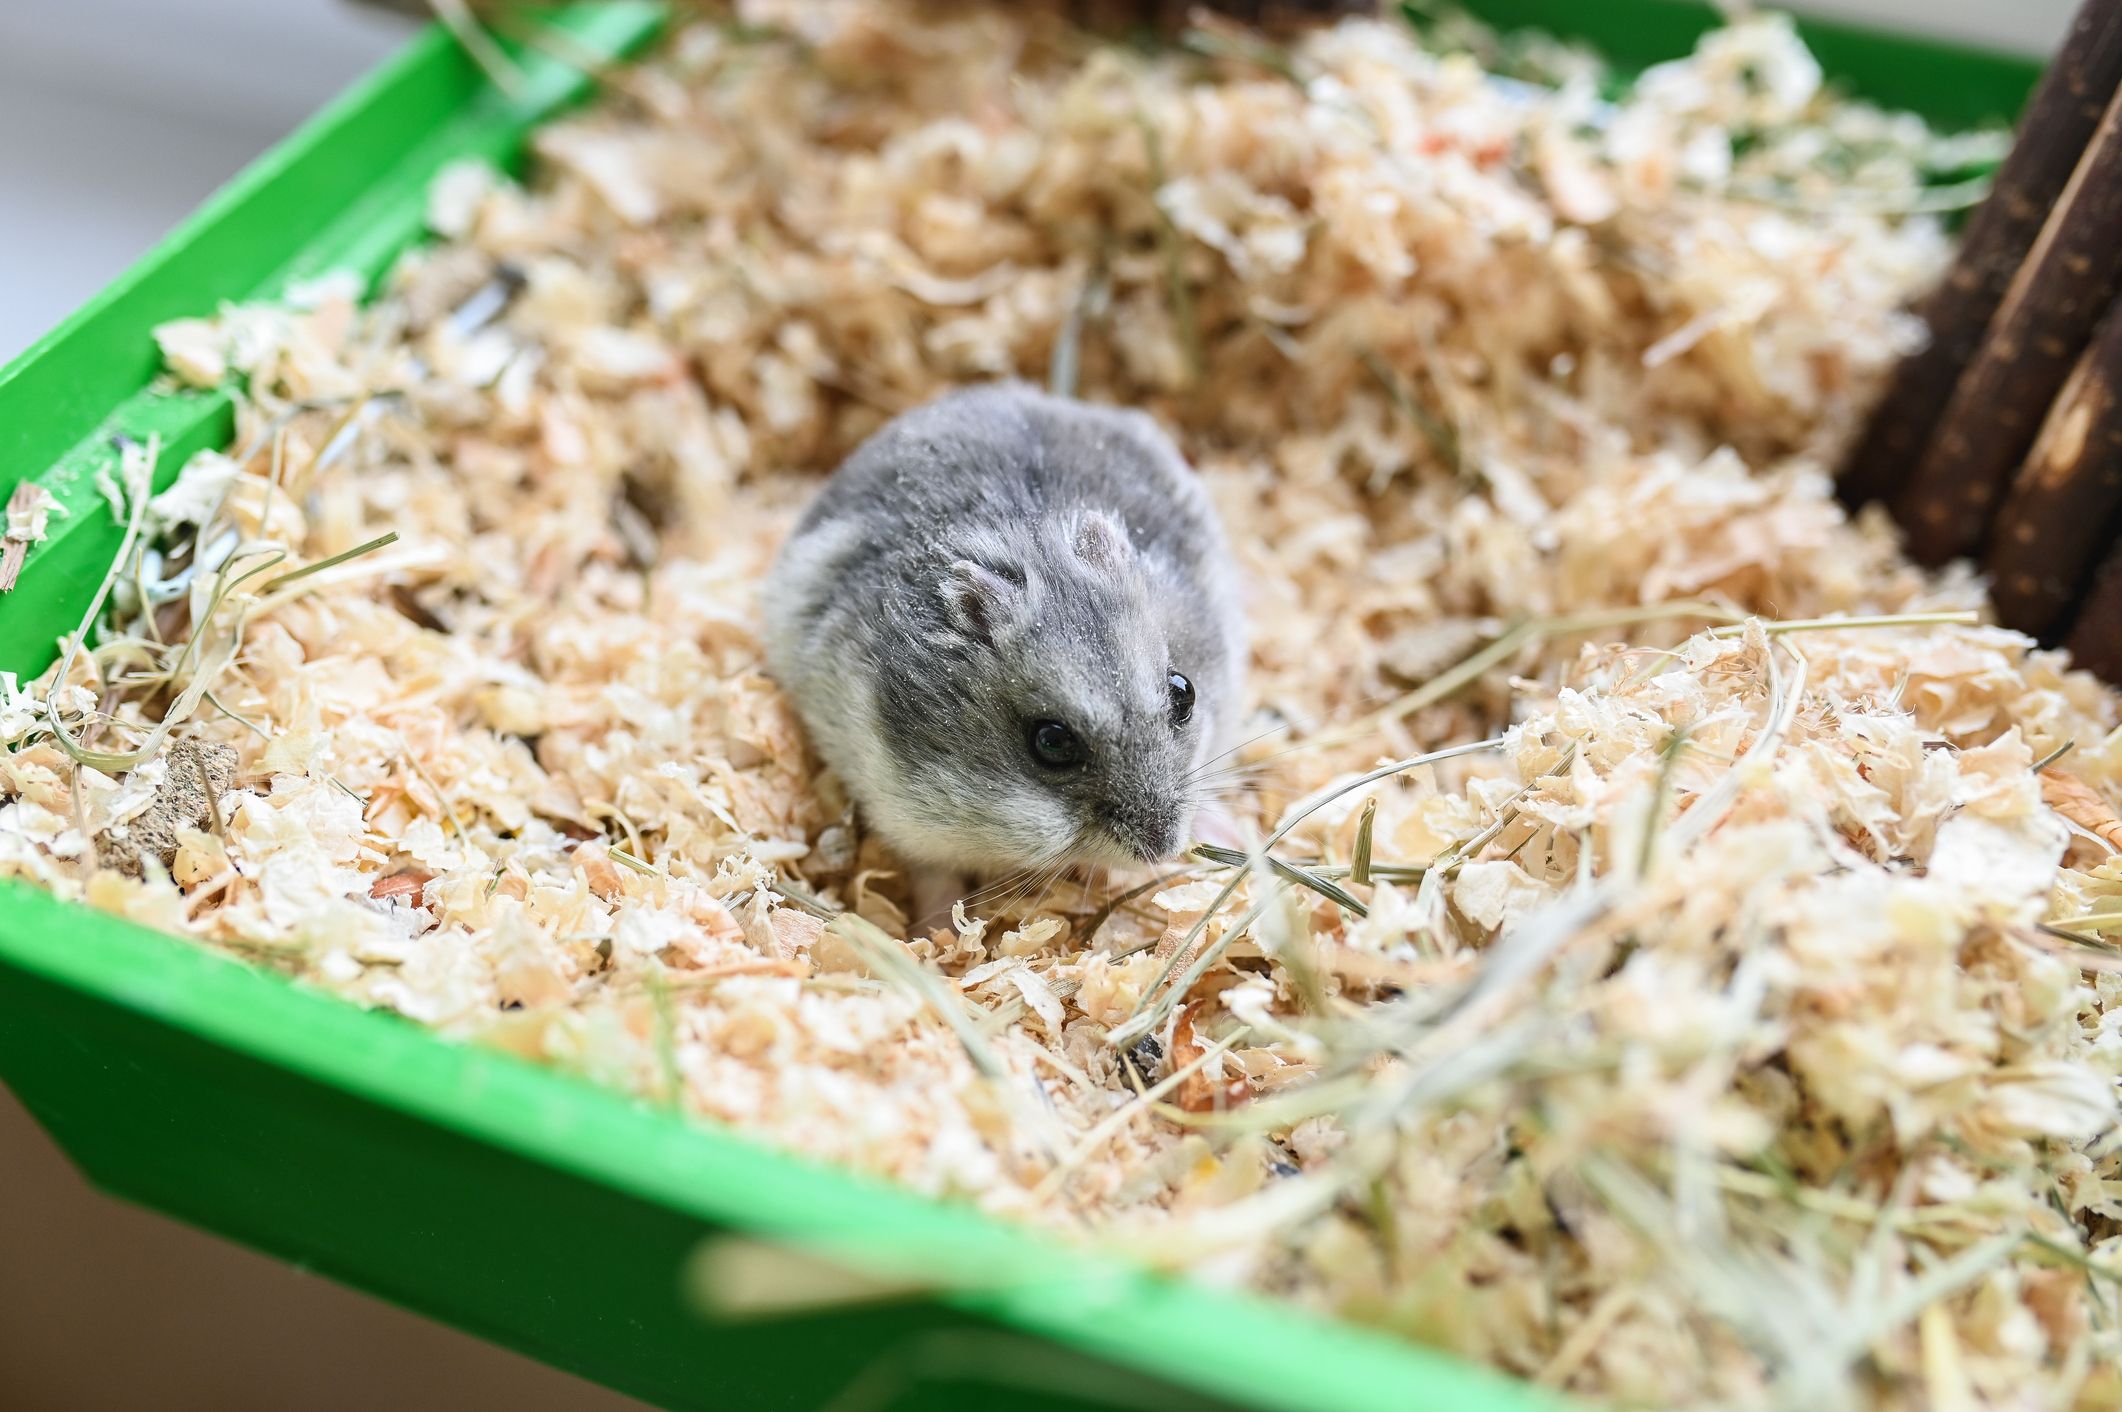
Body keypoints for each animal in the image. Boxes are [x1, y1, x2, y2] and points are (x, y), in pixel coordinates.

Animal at [762, 382, 1246, 912]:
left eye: (1184, 692)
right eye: (1051, 742)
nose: (1162, 851)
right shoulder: (904, 815)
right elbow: (933, 879)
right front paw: (934, 926)